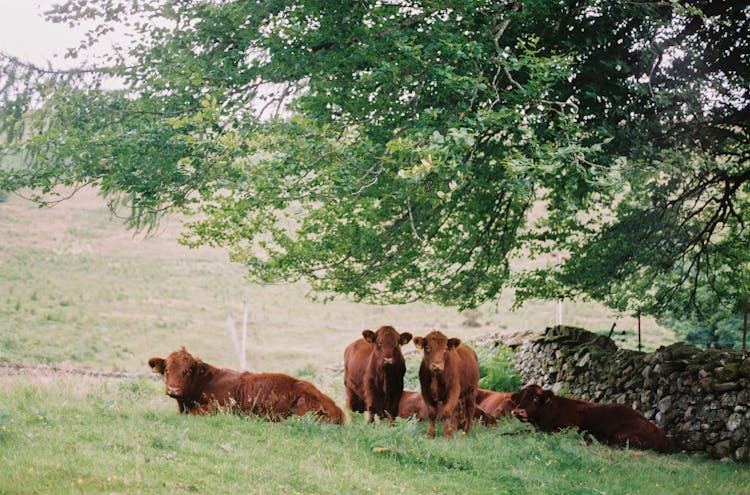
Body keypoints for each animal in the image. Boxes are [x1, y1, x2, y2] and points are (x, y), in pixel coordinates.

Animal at [516, 386, 672, 456]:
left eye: (535, 399)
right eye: (521, 397)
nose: (518, 412)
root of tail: (666, 439)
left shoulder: (559, 430)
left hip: (623, 435)